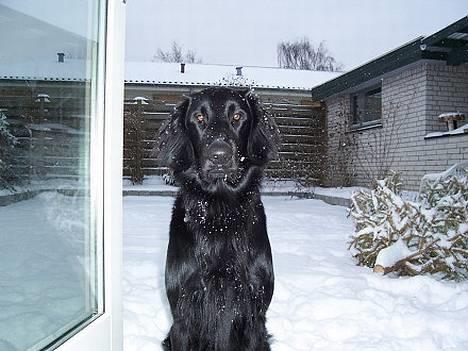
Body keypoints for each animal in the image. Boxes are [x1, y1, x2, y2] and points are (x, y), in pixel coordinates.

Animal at [159, 88, 280, 351]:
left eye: (237, 116)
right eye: (199, 118)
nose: (219, 156)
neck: (221, 212)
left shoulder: (254, 314)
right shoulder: (182, 316)